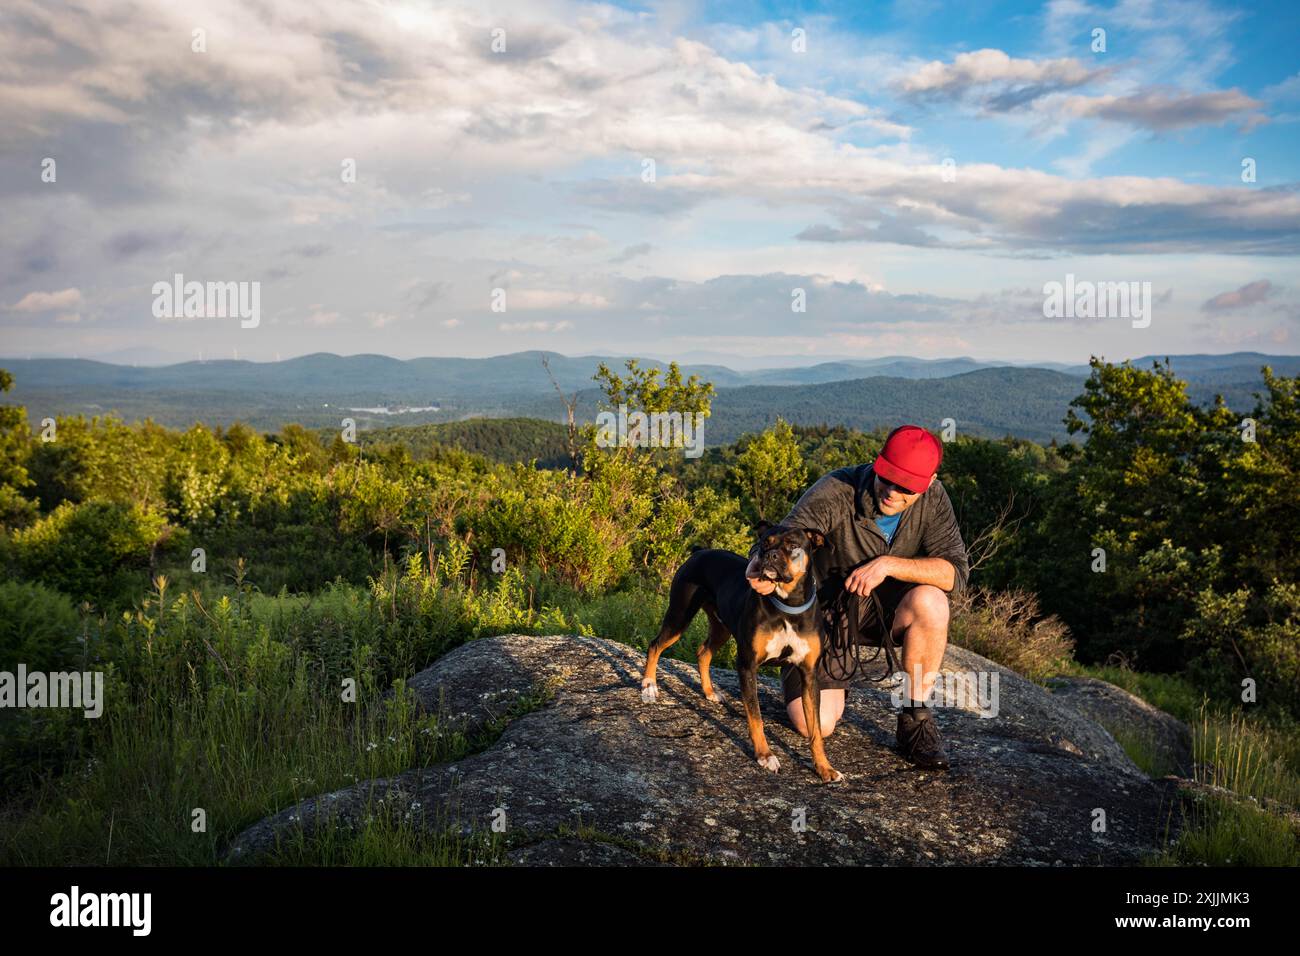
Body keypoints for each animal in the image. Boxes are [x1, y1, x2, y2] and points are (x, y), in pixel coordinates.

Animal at [639, 522, 842, 785]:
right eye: (765, 542)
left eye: (792, 545)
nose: (770, 555)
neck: (788, 604)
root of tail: (699, 551)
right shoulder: (747, 665)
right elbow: (756, 717)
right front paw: (765, 756)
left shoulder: (809, 675)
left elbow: (815, 729)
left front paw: (824, 767)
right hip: (680, 616)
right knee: (655, 645)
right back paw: (649, 685)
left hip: (721, 627)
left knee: (703, 652)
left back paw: (709, 692)